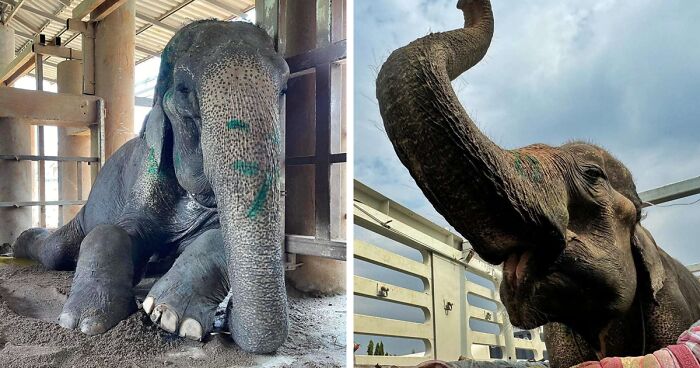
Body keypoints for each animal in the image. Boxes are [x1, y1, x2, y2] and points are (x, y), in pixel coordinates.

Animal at [11, 20, 290, 354]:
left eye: (284, 89)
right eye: (183, 90)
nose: (228, 321)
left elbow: (219, 235)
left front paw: (171, 317)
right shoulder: (147, 170)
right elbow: (113, 230)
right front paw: (84, 322)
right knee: (56, 251)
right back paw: (18, 245)